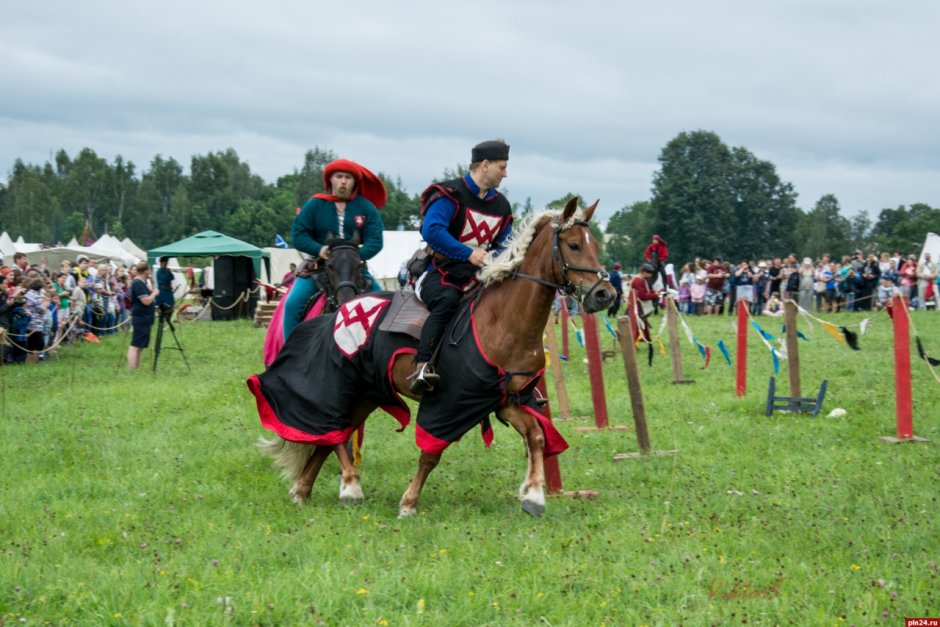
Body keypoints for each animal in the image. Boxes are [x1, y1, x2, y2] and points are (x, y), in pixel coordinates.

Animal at [258, 199, 612, 516]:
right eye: (573, 245)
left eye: (596, 245)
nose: (604, 294)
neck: (503, 321)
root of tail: (341, 309)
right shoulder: (449, 403)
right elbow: (431, 454)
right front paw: (409, 503)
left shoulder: (502, 399)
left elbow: (536, 436)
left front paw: (535, 496)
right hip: (341, 385)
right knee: (333, 431)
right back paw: (350, 487)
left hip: (366, 393)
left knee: (335, 433)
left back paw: (304, 490)